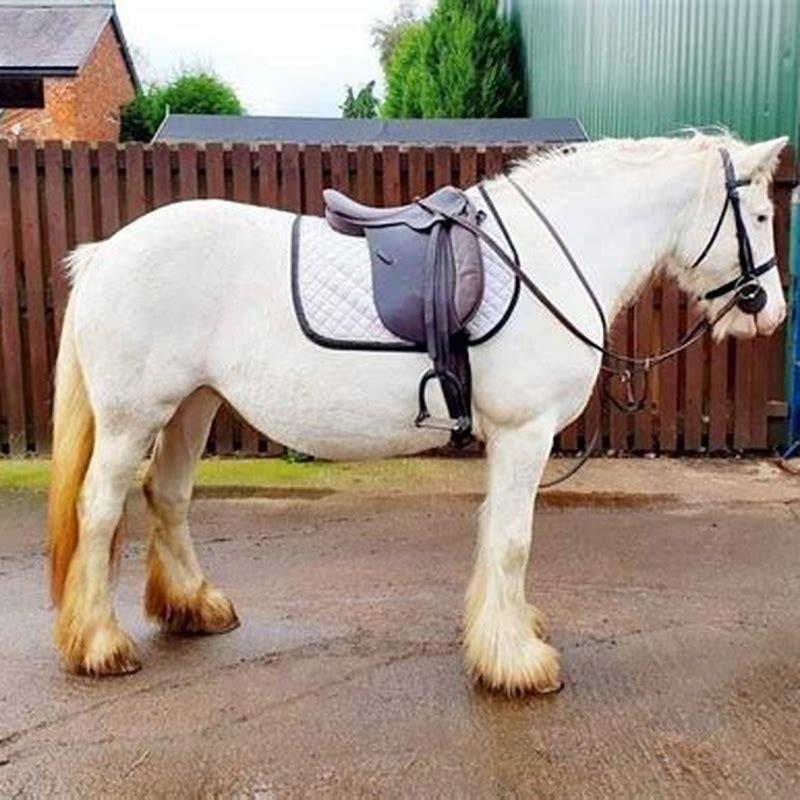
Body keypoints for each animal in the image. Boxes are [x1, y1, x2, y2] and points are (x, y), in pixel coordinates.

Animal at [48, 133, 787, 694]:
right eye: (758, 216)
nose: (772, 310)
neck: (547, 257)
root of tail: (104, 253)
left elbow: (496, 536)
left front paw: (507, 633)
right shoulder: (524, 434)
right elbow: (513, 540)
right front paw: (518, 664)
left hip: (192, 406)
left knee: (167, 496)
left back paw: (194, 606)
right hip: (132, 419)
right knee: (101, 511)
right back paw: (101, 644)